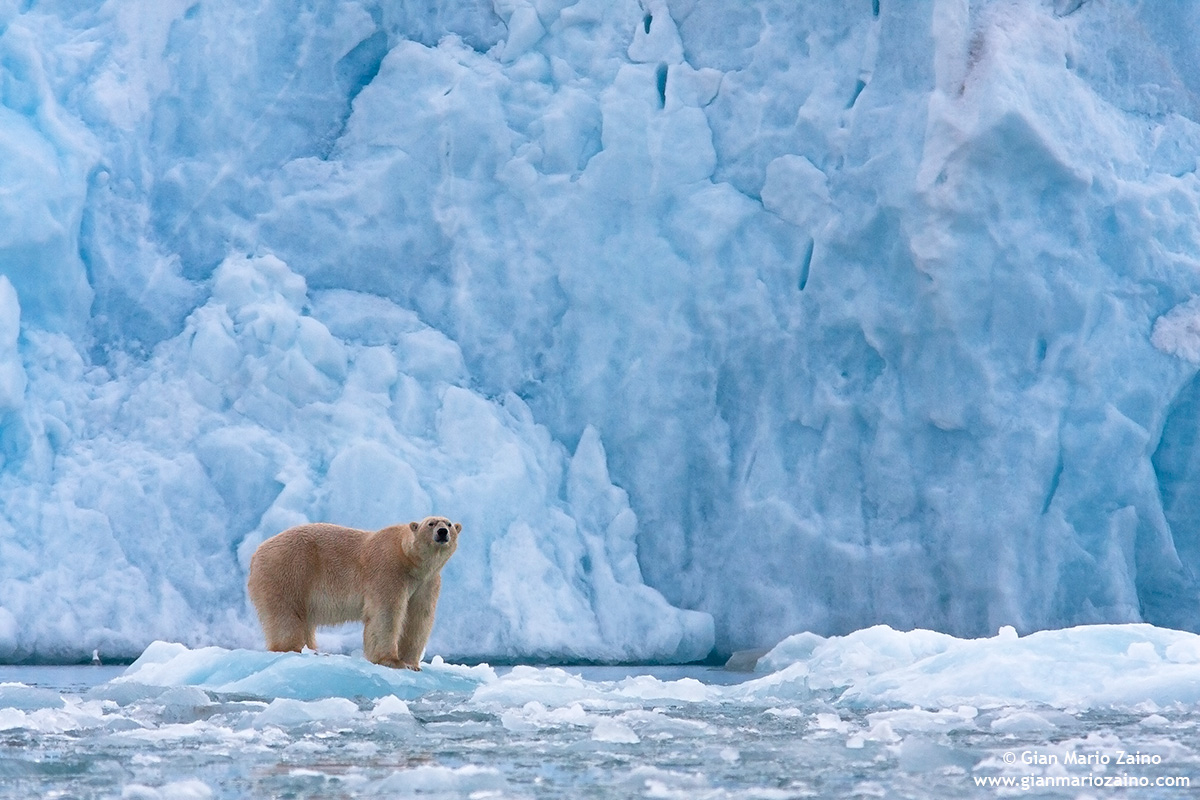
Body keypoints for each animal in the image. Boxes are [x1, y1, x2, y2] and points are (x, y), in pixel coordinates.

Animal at [247, 516, 461, 670]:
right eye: (430, 523)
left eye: (449, 523)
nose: (442, 532)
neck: (408, 558)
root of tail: (257, 552)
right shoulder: (388, 570)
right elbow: (386, 614)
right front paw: (392, 661)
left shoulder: (427, 582)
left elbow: (418, 618)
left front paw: (411, 663)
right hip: (289, 571)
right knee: (286, 615)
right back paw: (293, 648)